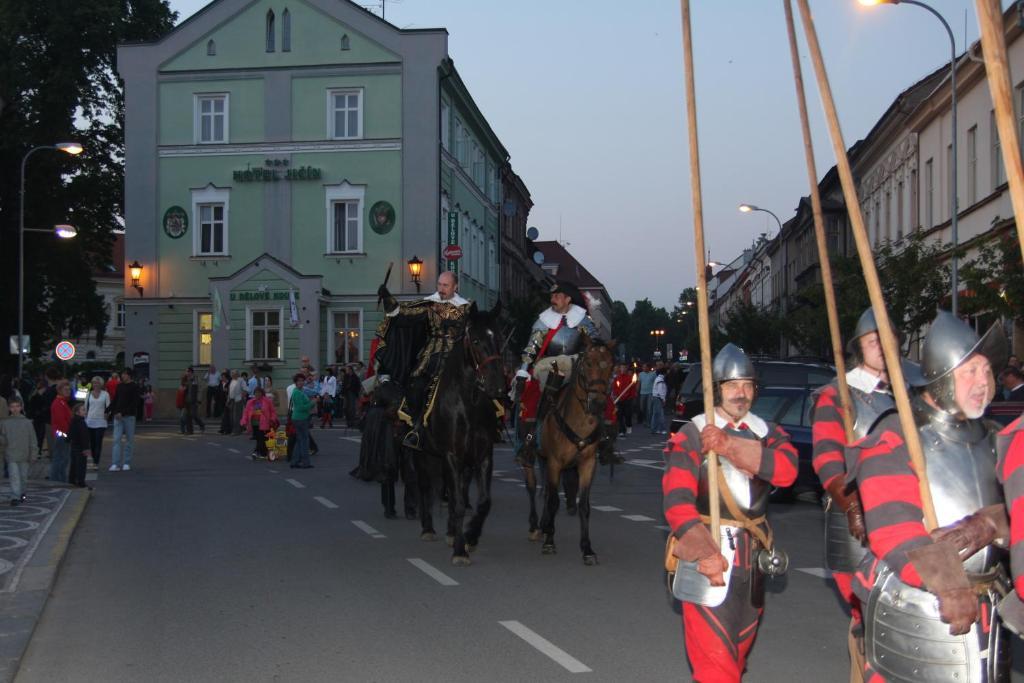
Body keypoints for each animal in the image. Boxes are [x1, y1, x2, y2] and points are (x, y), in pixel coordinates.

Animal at [413, 303, 505, 565]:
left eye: (499, 338)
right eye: (475, 340)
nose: (497, 385)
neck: (469, 402)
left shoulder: (482, 456)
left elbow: (482, 502)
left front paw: (470, 537)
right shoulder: (452, 455)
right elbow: (459, 503)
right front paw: (460, 551)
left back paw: (453, 532)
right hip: (422, 455)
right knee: (425, 488)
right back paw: (428, 529)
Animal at [520, 337, 614, 565]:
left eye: (610, 365)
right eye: (587, 363)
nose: (597, 403)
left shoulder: (587, 464)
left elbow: (584, 506)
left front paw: (587, 549)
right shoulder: (556, 462)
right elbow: (554, 500)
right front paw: (549, 542)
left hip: (544, 460)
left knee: (545, 490)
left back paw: (544, 525)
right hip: (531, 458)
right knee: (532, 487)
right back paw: (535, 527)